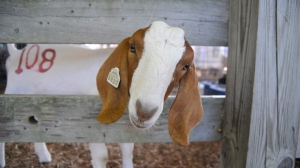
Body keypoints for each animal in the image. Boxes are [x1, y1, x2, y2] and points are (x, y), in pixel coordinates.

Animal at [0, 44, 134, 168]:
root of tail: (16, 53)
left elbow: (128, 150)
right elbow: (102, 156)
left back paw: (44, 157)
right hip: (14, 93)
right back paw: (2, 162)